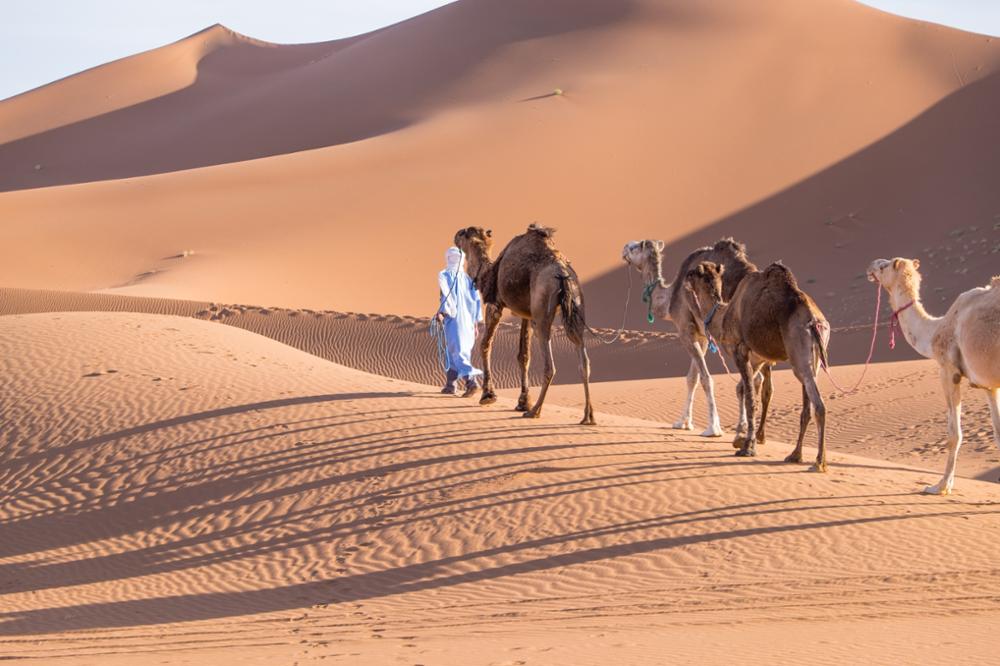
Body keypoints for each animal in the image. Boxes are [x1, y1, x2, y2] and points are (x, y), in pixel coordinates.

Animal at [456, 220, 592, 422]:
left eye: (465, 233)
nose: (456, 234)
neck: (486, 274)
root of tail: (562, 274)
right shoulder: (526, 314)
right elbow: (524, 355)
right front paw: (522, 401)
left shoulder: (495, 304)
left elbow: (485, 345)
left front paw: (488, 395)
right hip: (576, 304)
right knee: (583, 361)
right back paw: (588, 416)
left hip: (542, 311)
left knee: (549, 366)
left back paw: (535, 411)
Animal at [620, 237, 752, 436]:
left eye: (635, 247)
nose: (623, 249)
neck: (669, 299)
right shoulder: (702, 336)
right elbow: (692, 378)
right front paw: (683, 422)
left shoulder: (685, 330)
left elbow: (705, 378)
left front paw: (713, 427)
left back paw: (742, 426)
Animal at [684, 256, 832, 470]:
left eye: (694, 272)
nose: (685, 278)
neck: (723, 316)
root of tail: (815, 322)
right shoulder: (757, 358)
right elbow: (744, 389)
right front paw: (741, 438)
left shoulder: (740, 350)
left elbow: (750, 398)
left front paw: (747, 447)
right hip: (815, 360)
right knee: (807, 407)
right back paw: (795, 455)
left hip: (799, 354)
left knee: (818, 405)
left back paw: (819, 462)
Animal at [864, 258, 996, 492]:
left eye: (883, 266)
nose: (871, 265)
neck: (935, 329)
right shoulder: (988, 384)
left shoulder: (948, 370)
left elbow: (954, 434)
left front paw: (940, 486)